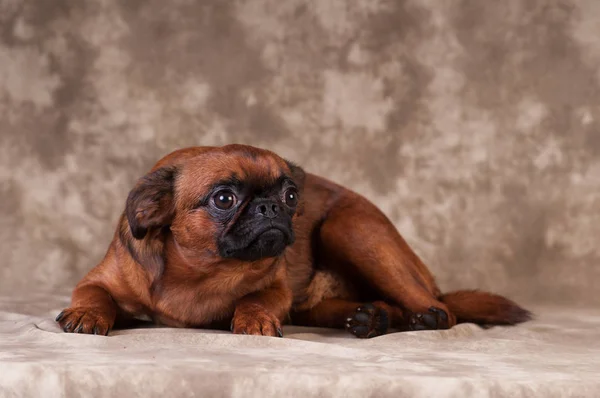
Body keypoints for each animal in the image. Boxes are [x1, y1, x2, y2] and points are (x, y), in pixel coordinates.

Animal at [56, 145, 528, 338]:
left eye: (291, 195)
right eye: (223, 199)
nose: (271, 207)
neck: (198, 271)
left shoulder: (276, 290)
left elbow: (257, 299)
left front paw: (254, 320)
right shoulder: (98, 280)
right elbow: (94, 294)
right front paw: (87, 314)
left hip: (350, 229)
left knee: (443, 311)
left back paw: (415, 318)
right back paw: (372, 318)